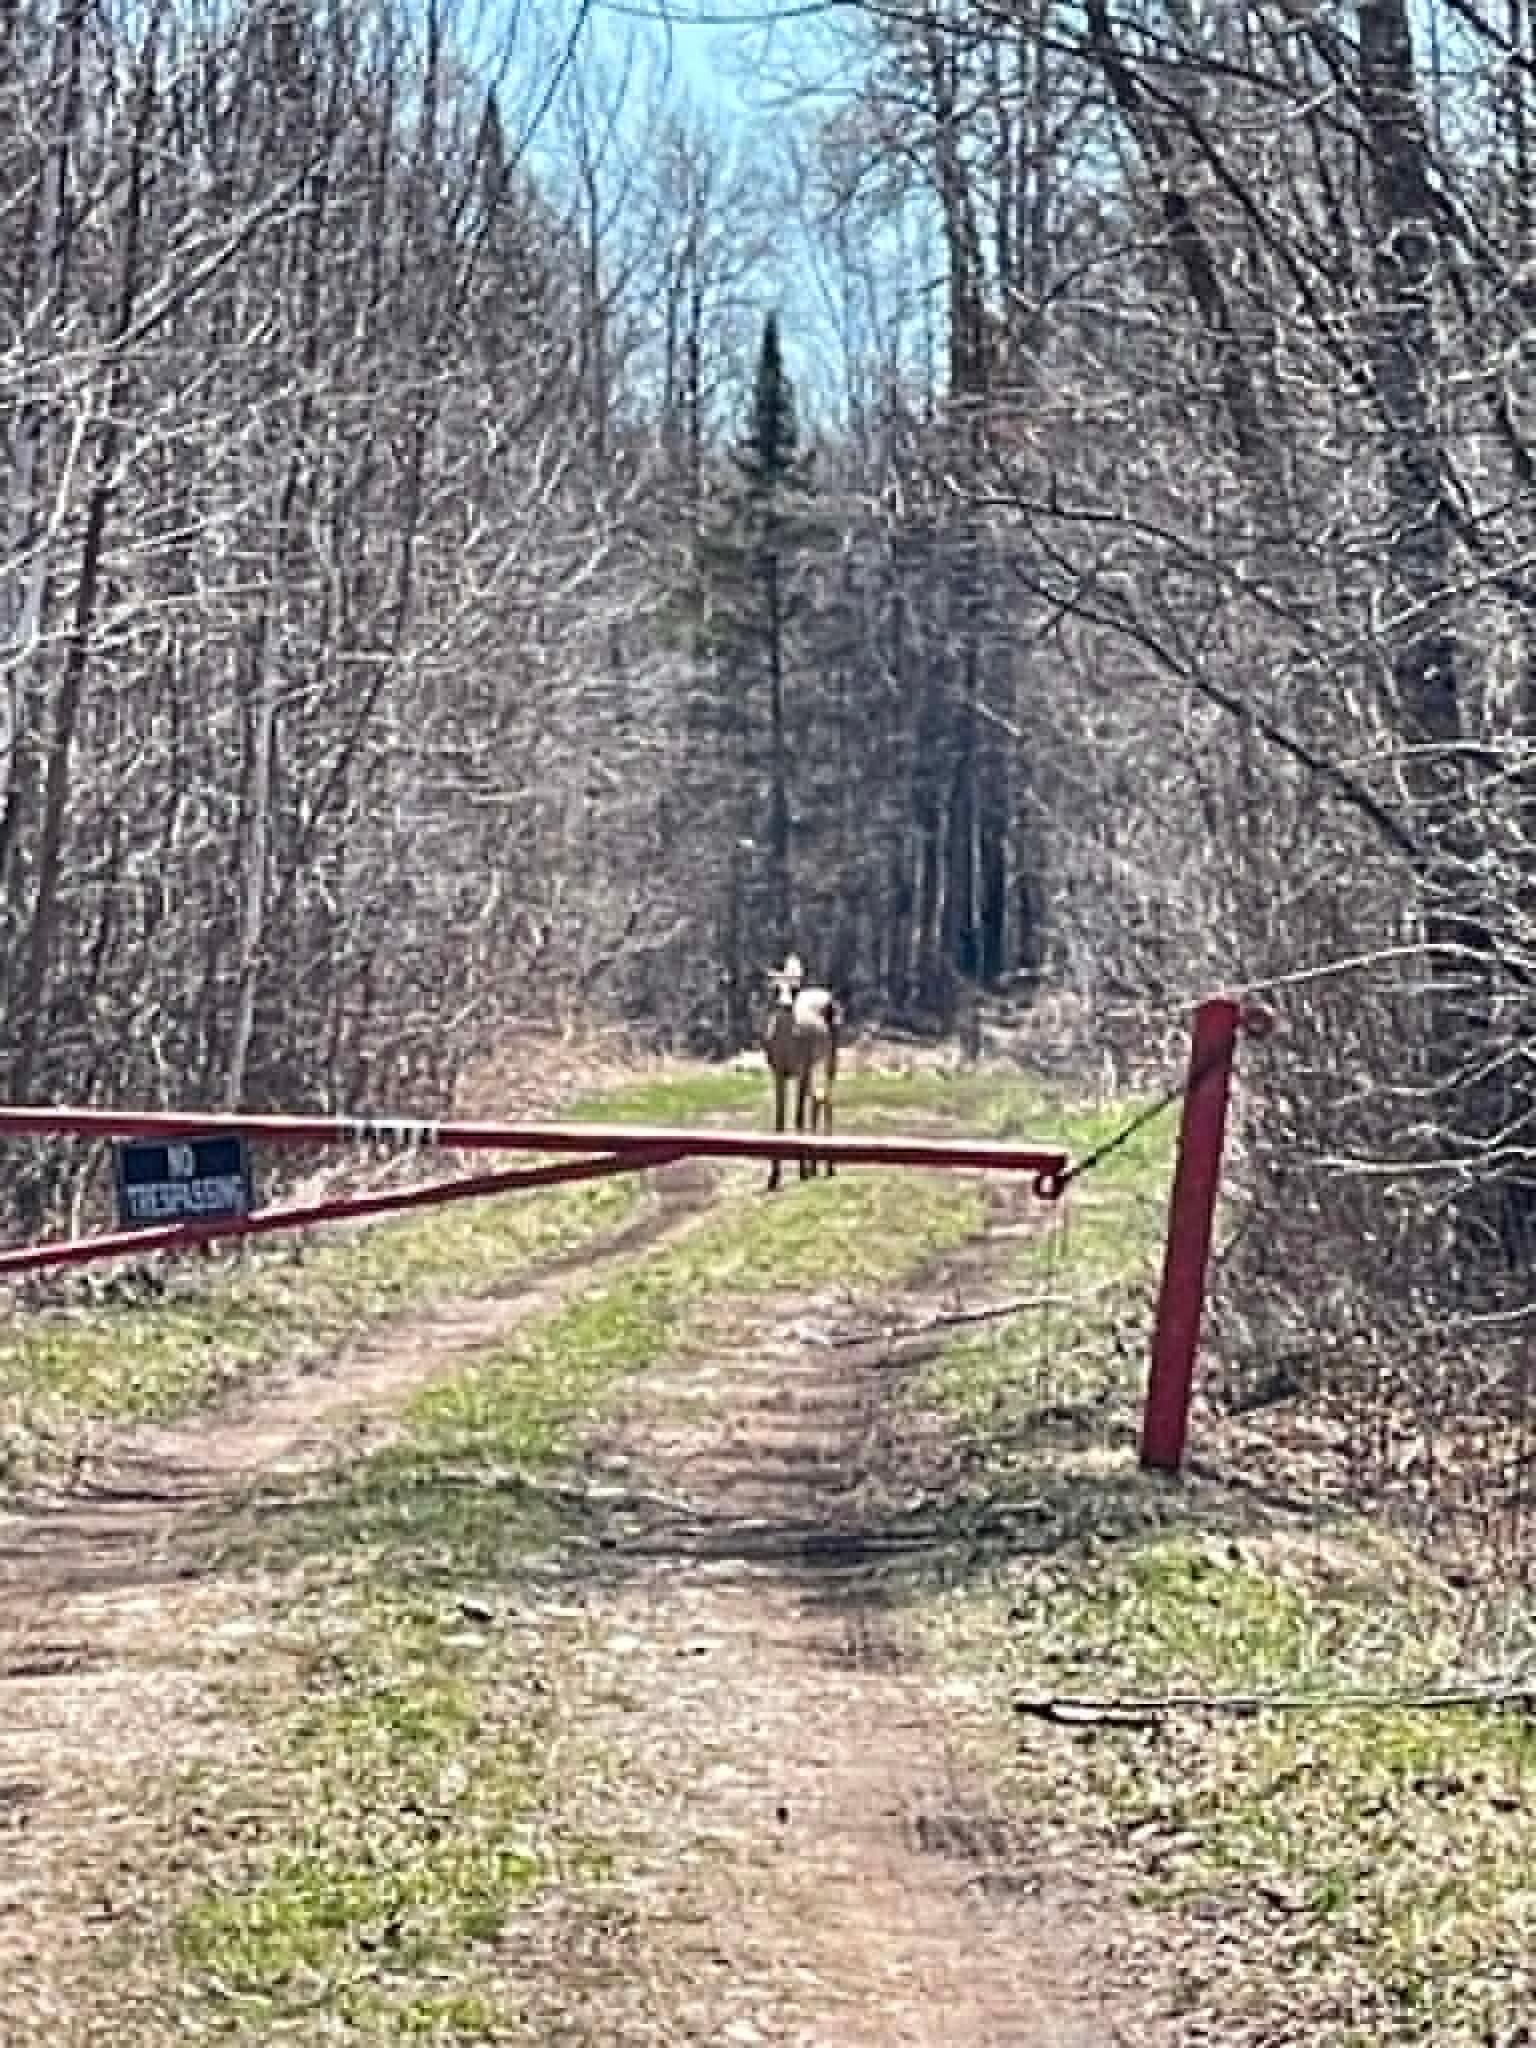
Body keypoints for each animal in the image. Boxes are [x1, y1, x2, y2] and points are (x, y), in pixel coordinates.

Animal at [762, 953, 842, 1192]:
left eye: (795, 989)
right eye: (774, 988)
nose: (786, 1006)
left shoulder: (802, 1068)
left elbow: (797, 1117)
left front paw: (802, 1172)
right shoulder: (779, 1072)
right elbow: (779, 1120)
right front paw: (773, 1178)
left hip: (830, 1055)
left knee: (827, 1100)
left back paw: (829, 1168)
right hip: (810, 1070)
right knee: (816, 1098)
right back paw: (816, 1167)